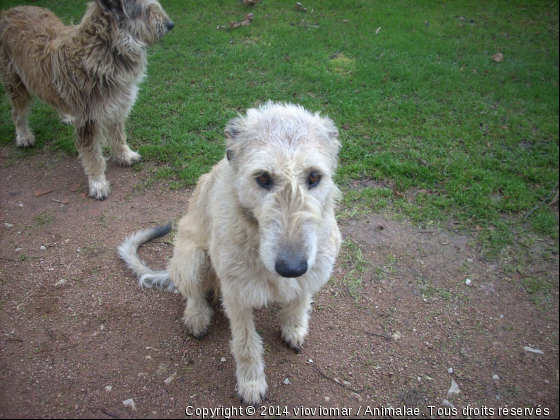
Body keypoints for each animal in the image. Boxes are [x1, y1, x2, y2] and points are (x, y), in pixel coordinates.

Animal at [0, 0, 173, 199]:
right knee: (17, 113)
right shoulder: (89, 118)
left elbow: (118, 135)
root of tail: (10, 11)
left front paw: (124, 155)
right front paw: (98, 183)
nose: (170, 24)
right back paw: (23, 136)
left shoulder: (117, 104)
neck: (105, 49)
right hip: (14, 81)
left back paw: (66, 116)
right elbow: (93, 155)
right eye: (146, 10)